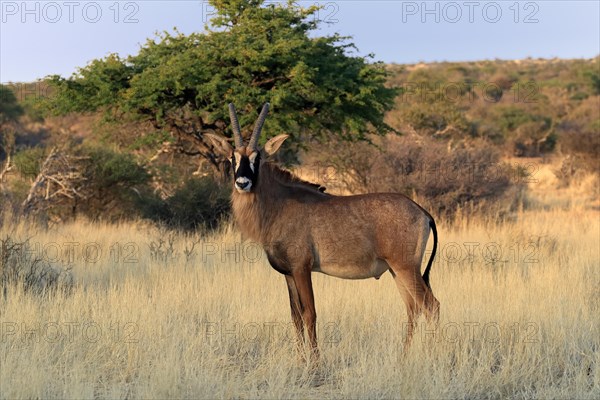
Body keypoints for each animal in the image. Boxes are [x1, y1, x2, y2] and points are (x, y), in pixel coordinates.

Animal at [206, 103, 440, 360]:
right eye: (233, 157)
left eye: (257, 158)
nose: (243, 183)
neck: (279, 204)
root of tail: (422, 212)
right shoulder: (288, 274)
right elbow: (295, 317)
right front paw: (301, 359)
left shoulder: (302, 269)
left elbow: (310, 313)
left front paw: (315, 362)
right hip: (397, 271)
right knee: (413, 308)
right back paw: (404, 356)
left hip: (406, 268)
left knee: (431, 306)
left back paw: (432, 355)